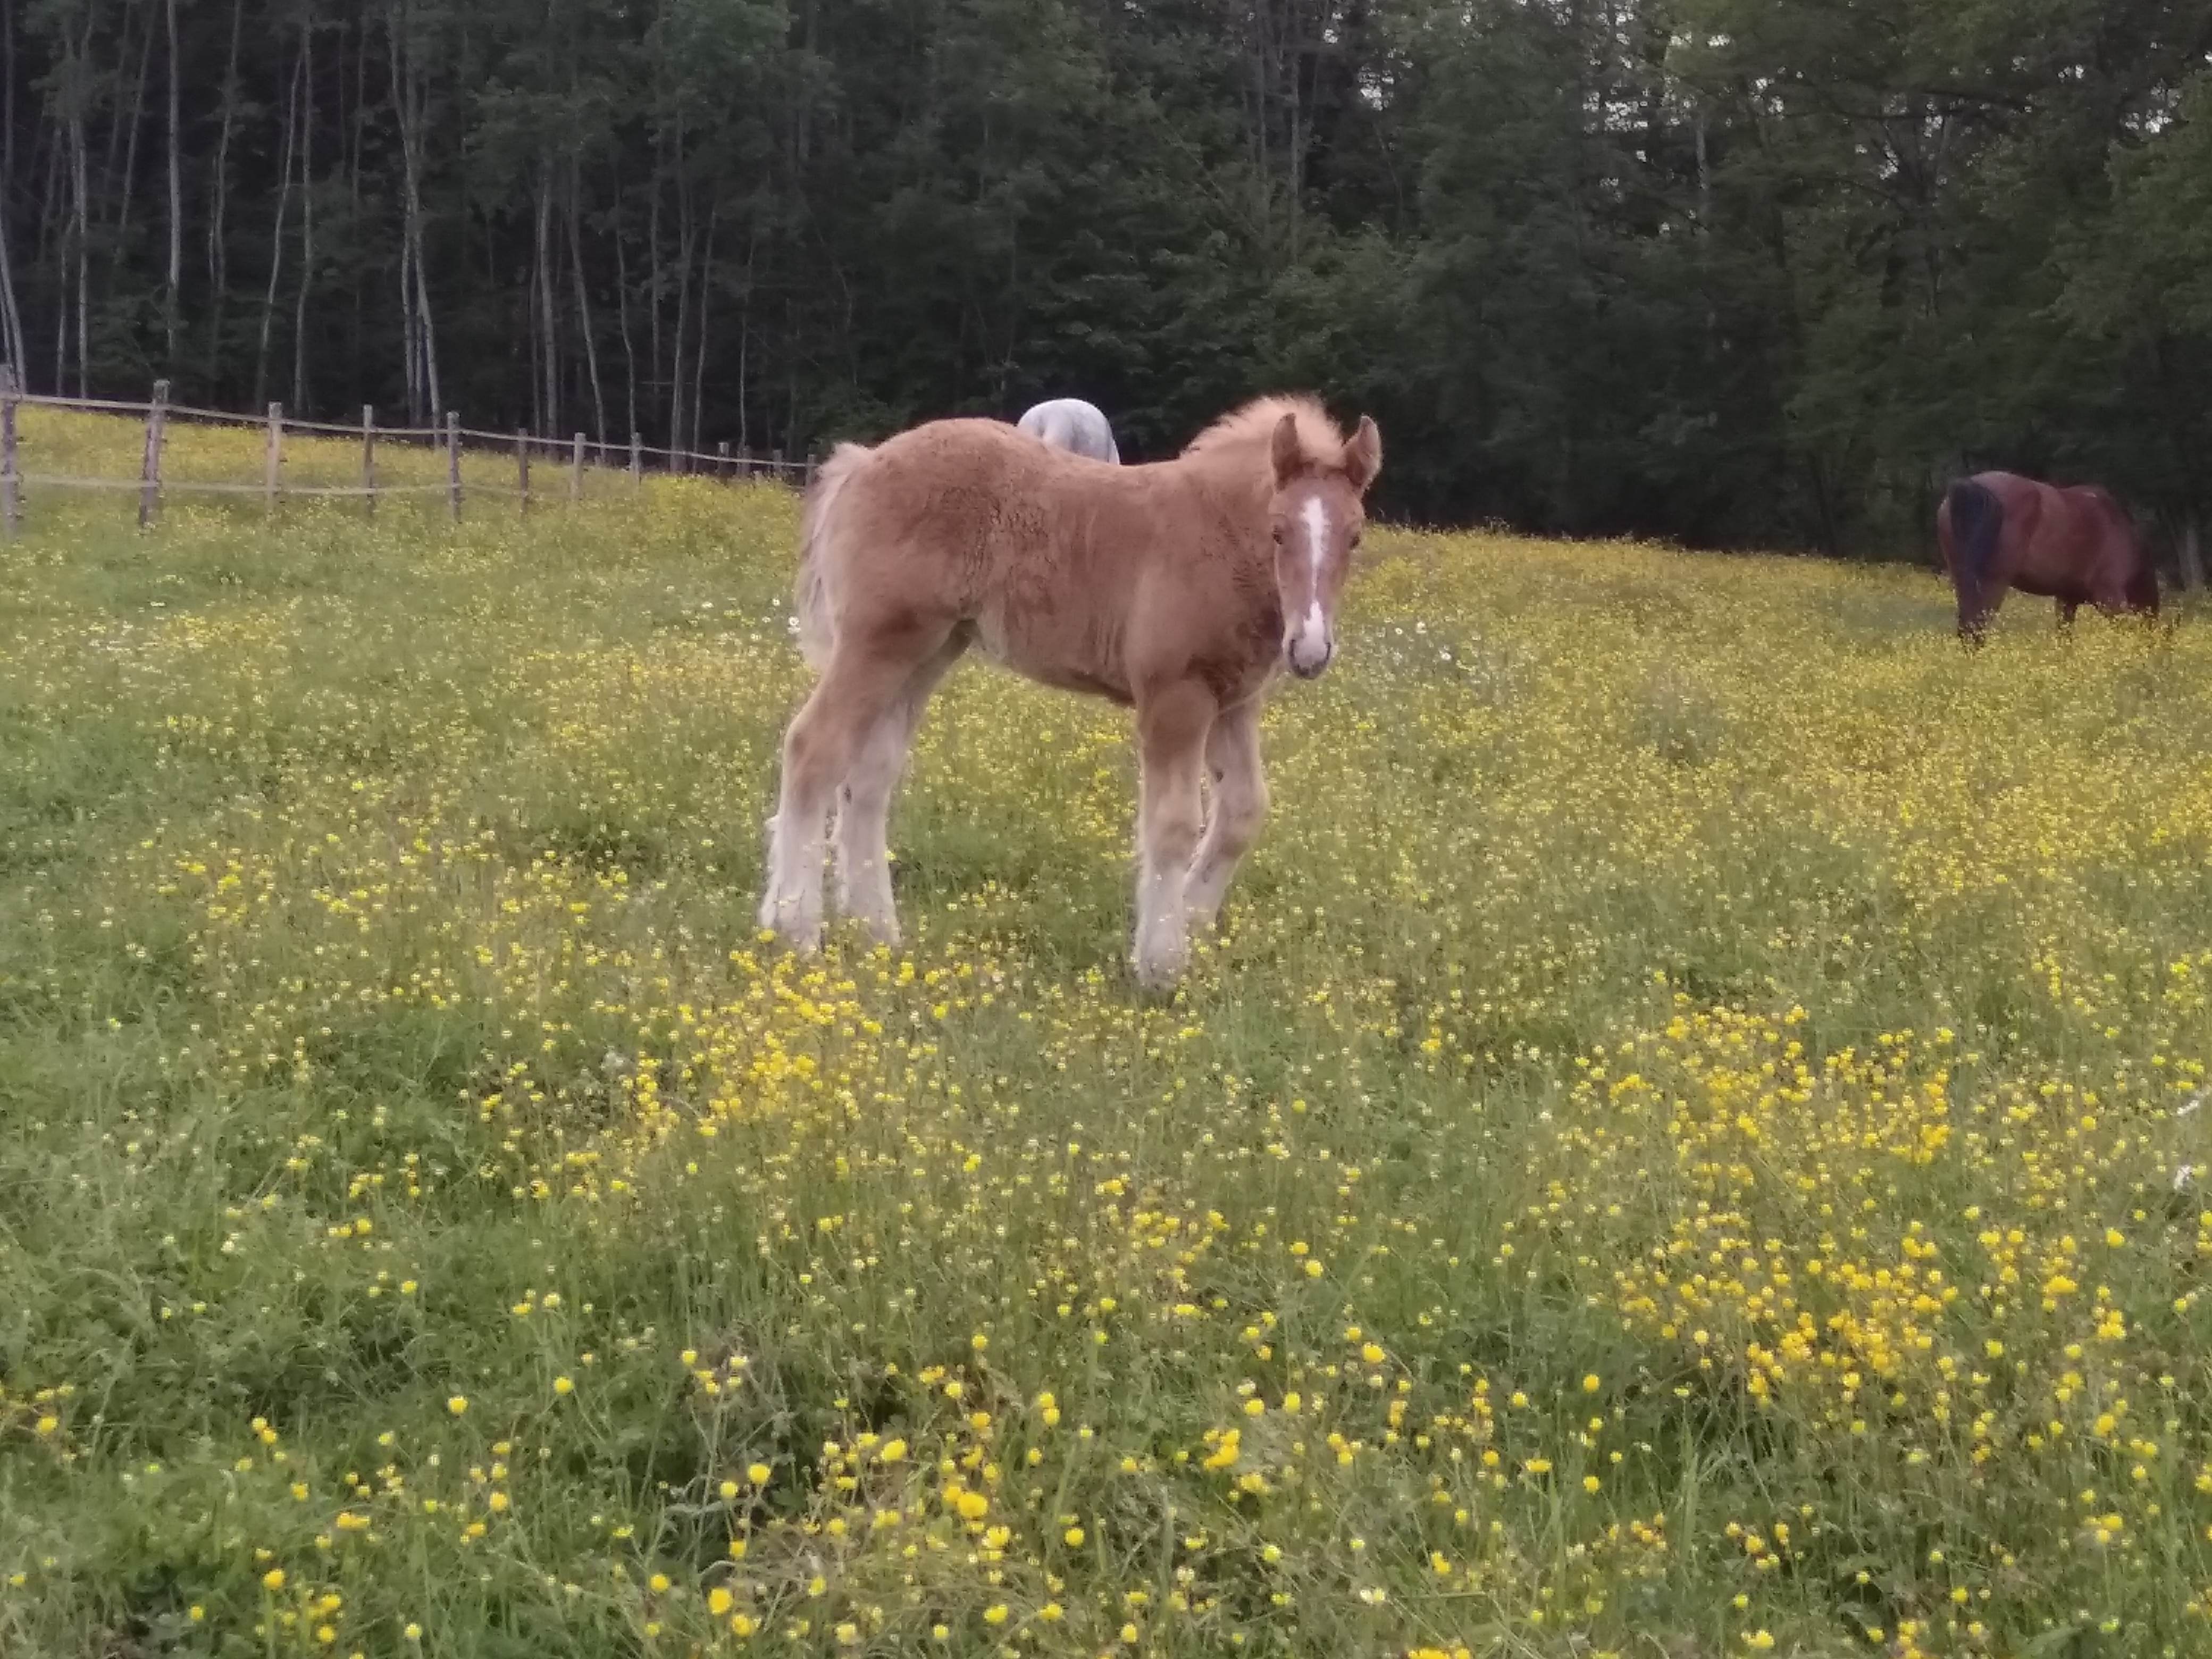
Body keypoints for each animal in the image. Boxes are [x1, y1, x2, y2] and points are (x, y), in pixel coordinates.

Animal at [1938, 473, 2159, 650]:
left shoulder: (2066, 599)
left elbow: (2065, 638)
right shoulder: (2109, 598)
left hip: (1963, 578)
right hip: (1994, 583)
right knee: (1976, 629)